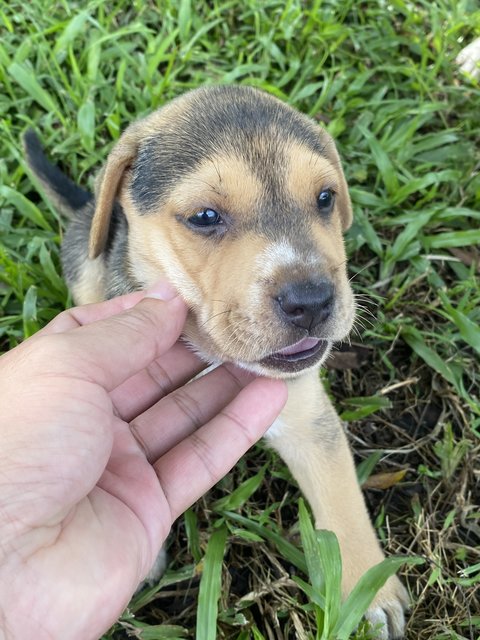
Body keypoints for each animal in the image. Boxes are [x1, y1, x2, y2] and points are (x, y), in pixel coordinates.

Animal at [25, 86, 408, 640]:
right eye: (205, 217)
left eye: (325, 198)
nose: (312, 301)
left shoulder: (307, 415)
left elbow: (342, 498)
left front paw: (370, 592)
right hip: (86, 255)